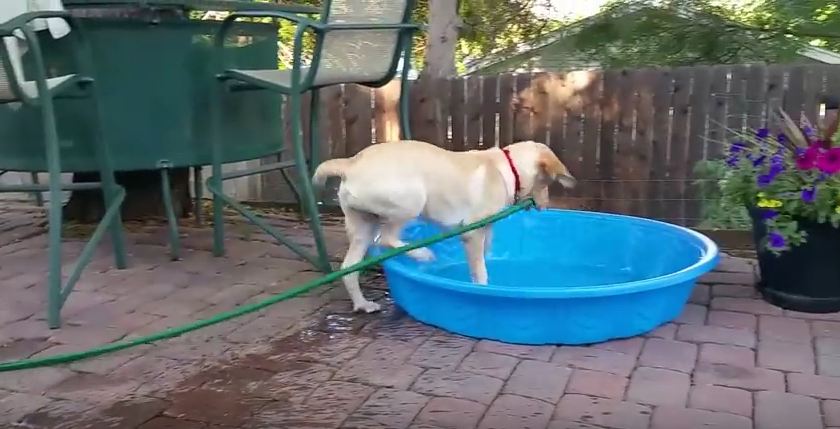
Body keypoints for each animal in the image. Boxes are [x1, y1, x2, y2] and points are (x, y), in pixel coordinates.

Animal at [314, 140, 576, 310]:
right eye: (548, 182)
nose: (546, 205)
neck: (507, 168)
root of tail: (350, 163)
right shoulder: (472, 232)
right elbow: (480, 269)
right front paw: (483, 291)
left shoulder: (485, 229)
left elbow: (484, 256)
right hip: (411, 201)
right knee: (387, 239)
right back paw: (422, 254)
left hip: (363, 226)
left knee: (349, 268)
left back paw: (363, 304)